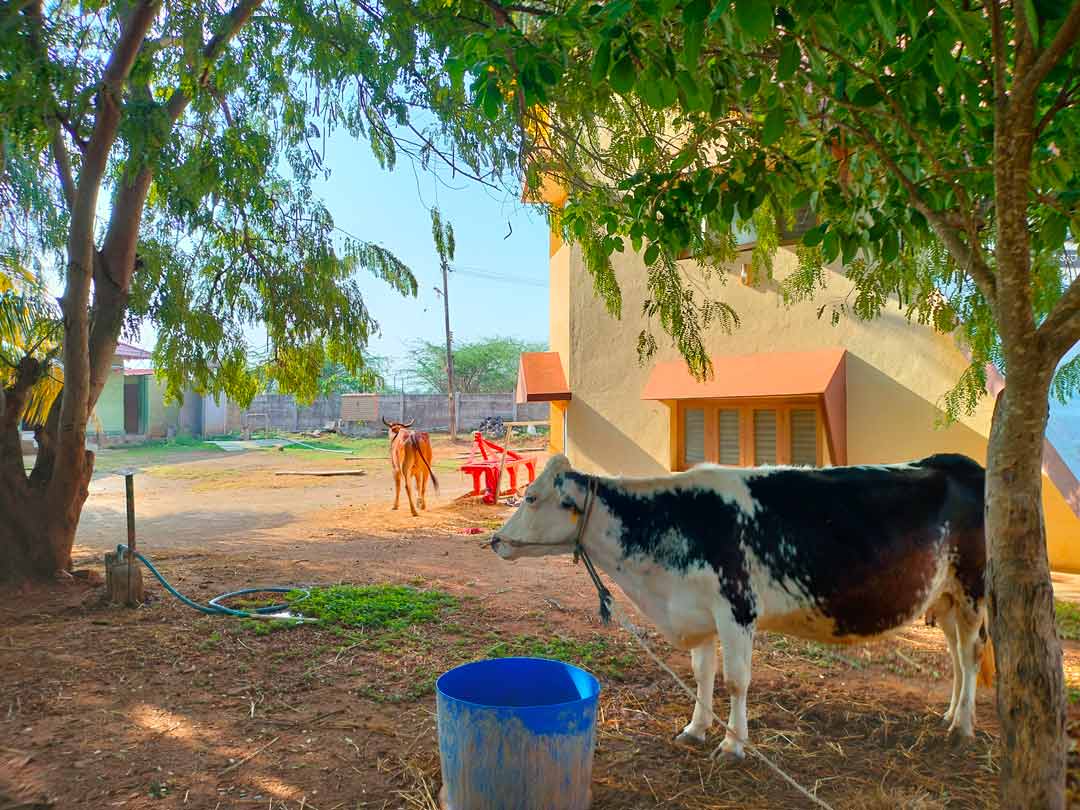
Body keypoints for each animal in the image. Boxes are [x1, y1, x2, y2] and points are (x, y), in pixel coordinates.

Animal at [490, 453, 993, 759]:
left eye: (532, 497)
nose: (496, 540)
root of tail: (963, 464)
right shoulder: (698, 610)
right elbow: (701, 675)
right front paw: (695, 730)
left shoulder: (736, 610)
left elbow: (735, 680)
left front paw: (732, 745)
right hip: (946, 596)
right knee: (955, 657)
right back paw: (950, 713)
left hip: (973, 590)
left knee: (970, 655)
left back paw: (963, 727)